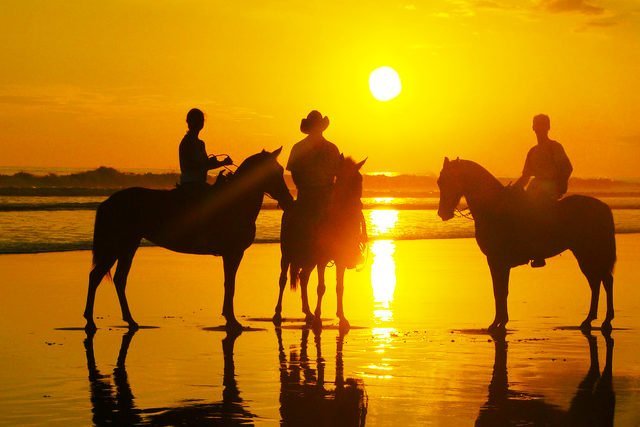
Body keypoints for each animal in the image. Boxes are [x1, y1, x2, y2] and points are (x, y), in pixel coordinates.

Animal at [84, 149, 294, 332]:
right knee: (96, 276)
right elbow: (230, 285)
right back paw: (91, 322)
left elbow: (229, 284)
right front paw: (232, 320)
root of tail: (109, 202)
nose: (288, 200)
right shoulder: (232, 253)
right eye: (273, 172)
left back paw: (130, 321)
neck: (236, 203)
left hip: (128, 245)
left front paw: (230, 319)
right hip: (117, 245)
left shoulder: (233, 254)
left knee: (119, 279)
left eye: (280, 170)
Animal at [272, 157, 368, 332]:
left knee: (303, 278)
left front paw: (342, 318)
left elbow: (339, 287)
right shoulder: (322, 260)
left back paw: (307, 313)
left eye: (360, 179)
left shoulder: (340, 260)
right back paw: (278, 313)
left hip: (310, 261)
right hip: (287, 253)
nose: (358, 206)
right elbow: (321, 287)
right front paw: (318, 319)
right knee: (282, 279)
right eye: (342, 178)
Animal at [436, 159, 616, 332]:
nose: (442, 213)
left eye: (447, 180)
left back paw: (604, 321)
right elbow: (501, 291)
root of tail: (603, 207)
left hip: (588, 253)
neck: (494, 207)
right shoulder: (498, 262)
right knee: (597, 282)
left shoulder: (496, 261)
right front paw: (501, 322)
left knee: (603, 281)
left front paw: (497, 323)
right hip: (586, 254)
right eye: (439, 182)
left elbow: (499, 291)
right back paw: (590, 320)